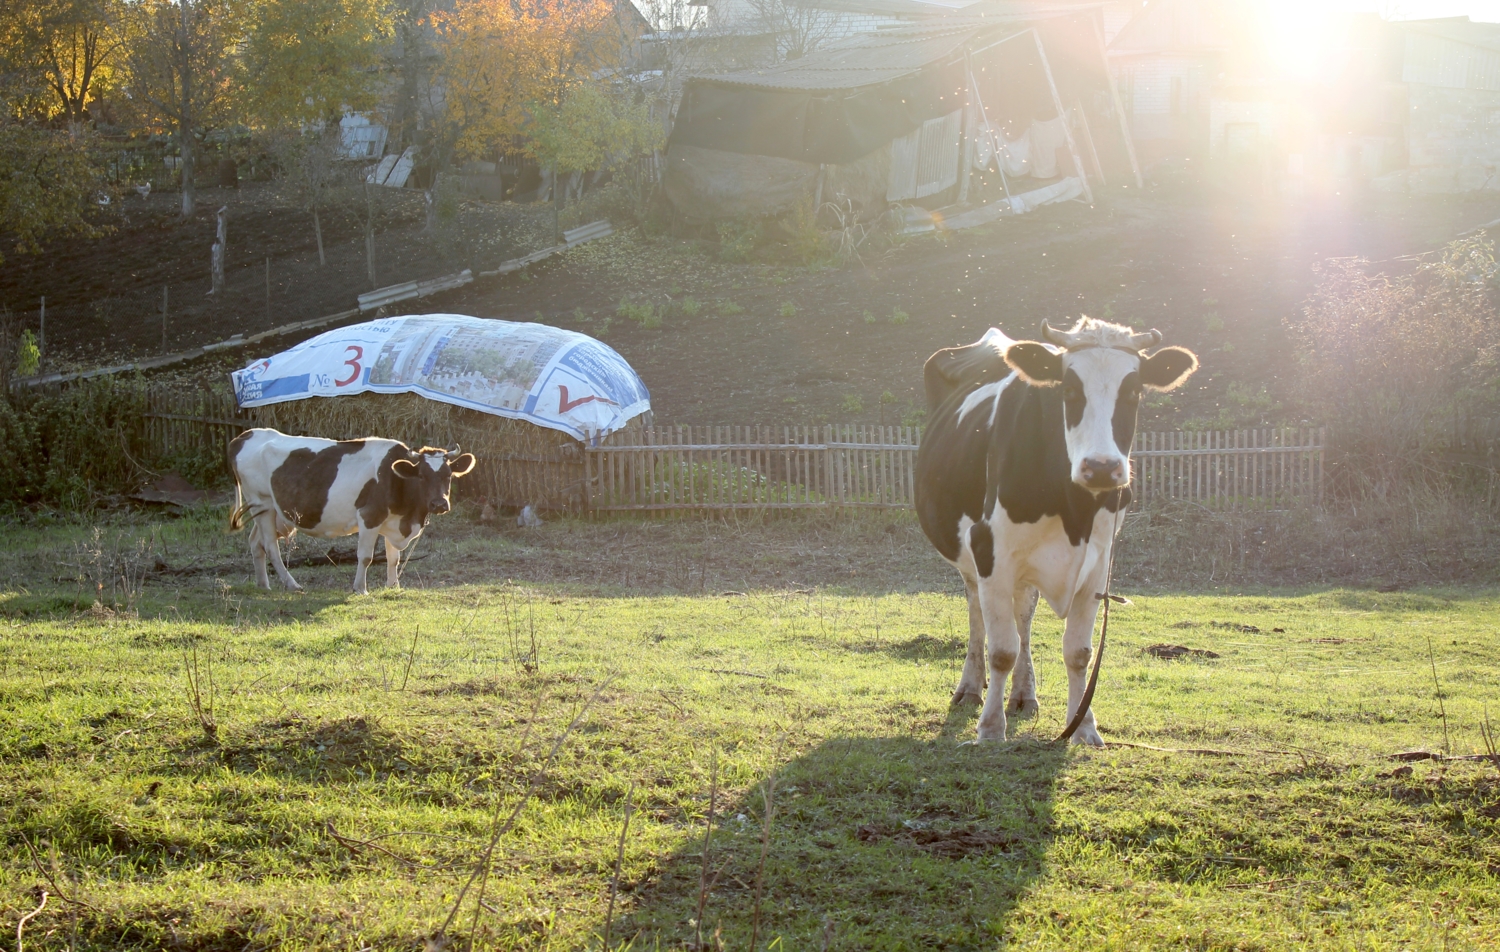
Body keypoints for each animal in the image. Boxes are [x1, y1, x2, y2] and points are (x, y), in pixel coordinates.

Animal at [226, 431, 474, 596]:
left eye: (449, 475)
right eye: (421, 475)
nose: (439, 504)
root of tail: (247, 435)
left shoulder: (393, 521)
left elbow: (393, 558)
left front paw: (393, 586)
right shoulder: (370, 516)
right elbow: (365, 556)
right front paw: (360, 589)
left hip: (272, 512)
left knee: (255, 542)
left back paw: (263, 585)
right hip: (261, 504)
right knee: (270, 546)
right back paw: (292, 584)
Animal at [906, 317, 1200, 743]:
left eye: (1133, 391)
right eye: (1069, 389)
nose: (1102, 467)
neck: (1075, 508)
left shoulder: (1099, 562)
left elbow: (1079, 652)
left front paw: (1084, 727)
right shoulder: (989, 548)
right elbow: (1001, 650)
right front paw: (991, 728)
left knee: (1023, 614)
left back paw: (1024, 694)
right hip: (972, 557)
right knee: (978, 613)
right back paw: (970, 689)